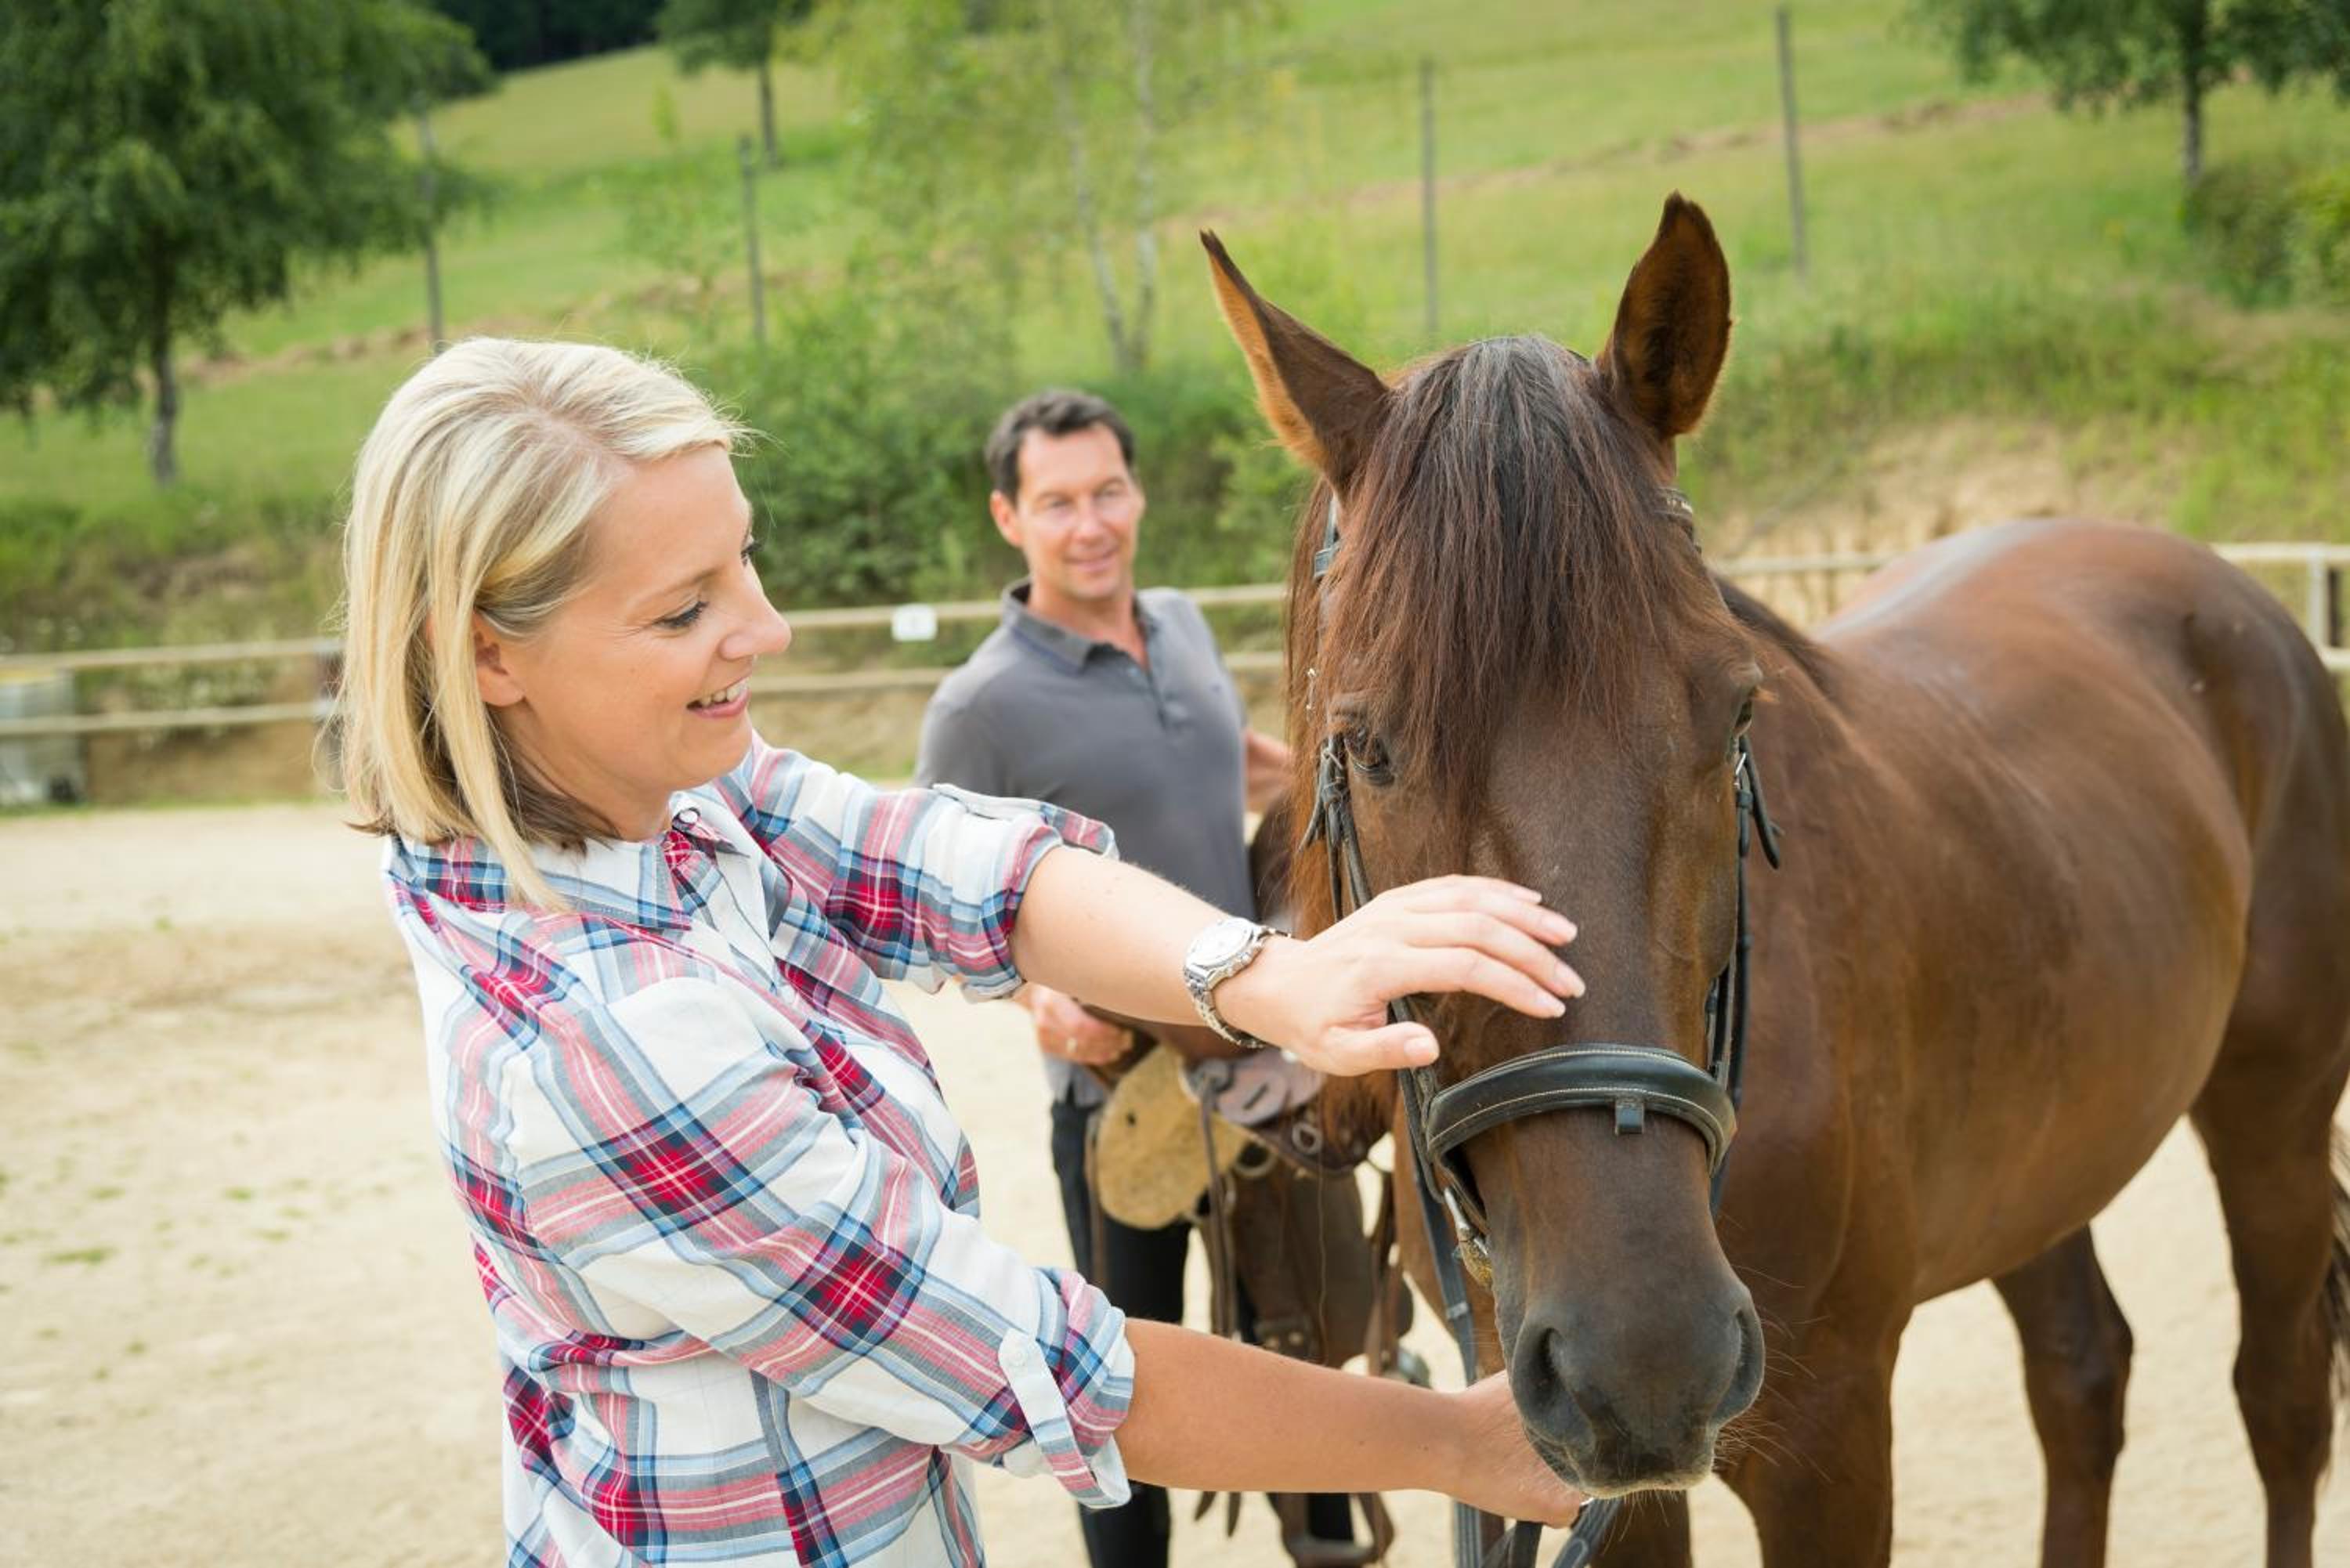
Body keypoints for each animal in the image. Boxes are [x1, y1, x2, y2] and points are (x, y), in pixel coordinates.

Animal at [1198, 195, 2350, 1568]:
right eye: (1368, 746)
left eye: (1734, 711)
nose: (1647, 1350)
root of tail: (2238, 597)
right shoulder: (1572, 1461)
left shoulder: (1828, 1436)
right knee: (2083, 1377)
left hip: (2273, 1112)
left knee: (2280, 1393)